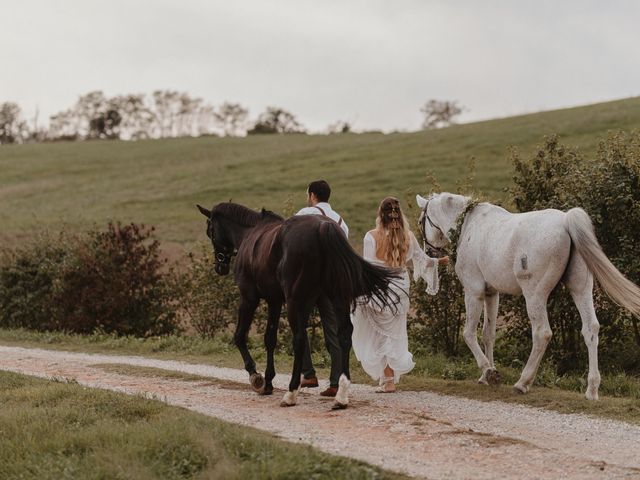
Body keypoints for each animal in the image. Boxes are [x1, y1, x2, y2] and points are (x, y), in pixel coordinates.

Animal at [196, 202, 400, 408]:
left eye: (210, 231)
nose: (220, 266)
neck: (250, 234)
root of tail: (323, 227)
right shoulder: (275, 300)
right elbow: (270, 339)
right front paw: (268, 382)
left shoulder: (249, 298)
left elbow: (239, 336)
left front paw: (256, 377)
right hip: (335, 298)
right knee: (343, 335)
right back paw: (341, 394)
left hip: (296, 302)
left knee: (300, 339)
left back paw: (292, 392)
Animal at [416, 193, 640, 400]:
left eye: (420, 221)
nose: (430, 253)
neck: (468, 224)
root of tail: (566, 221)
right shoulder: (492, 294)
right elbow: (488, 334)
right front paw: (485, 376)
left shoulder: (474, 292)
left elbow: (469, 334)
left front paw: (488, 372)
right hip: (580, 289)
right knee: (590, 328)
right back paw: (592, 390)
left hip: (534, 296)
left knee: (542, 333)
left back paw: (523, 382)